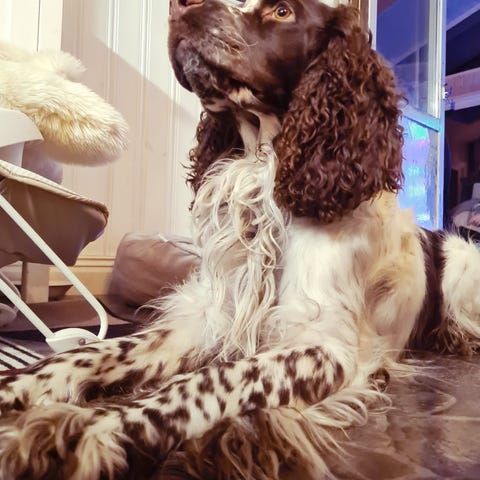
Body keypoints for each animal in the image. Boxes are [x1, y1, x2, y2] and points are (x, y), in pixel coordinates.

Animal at [1, 1, 480, 479]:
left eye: (283, 12)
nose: (180, 7)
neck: (264, 169)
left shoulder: (324, 345)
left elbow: (208, 382)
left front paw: (91, 432)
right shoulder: (209, 316)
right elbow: (97, 352)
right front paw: (19, 387)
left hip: (462, 267)